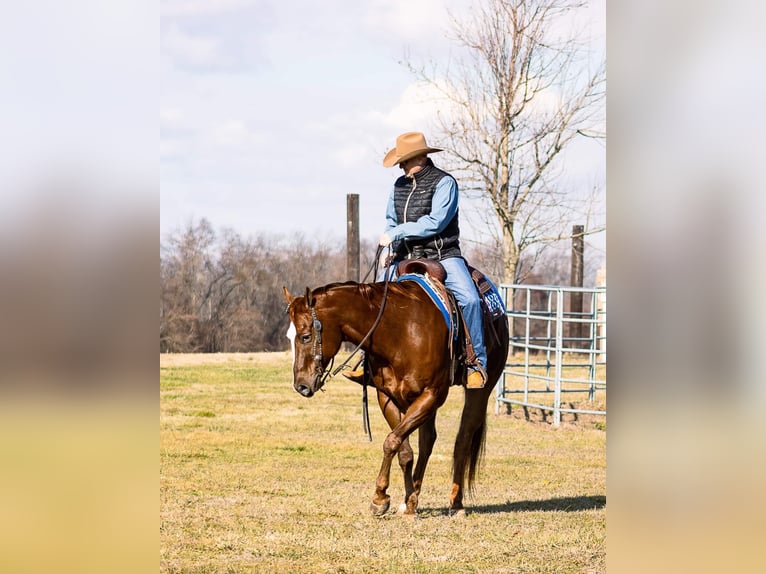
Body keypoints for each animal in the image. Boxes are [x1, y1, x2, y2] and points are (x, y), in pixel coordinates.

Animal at [282, 272, 510, 520]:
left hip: (480, 391)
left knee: (463, 440)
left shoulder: (432, 395)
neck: (399, 332)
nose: (301, 386)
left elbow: (391, 441)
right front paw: (407, 503)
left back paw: (456, 503)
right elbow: (404, 450)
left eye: (305, 337)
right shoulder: (388, 397)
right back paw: (414, 498)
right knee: (427, 441)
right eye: (289, 336)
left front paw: (379, 498)